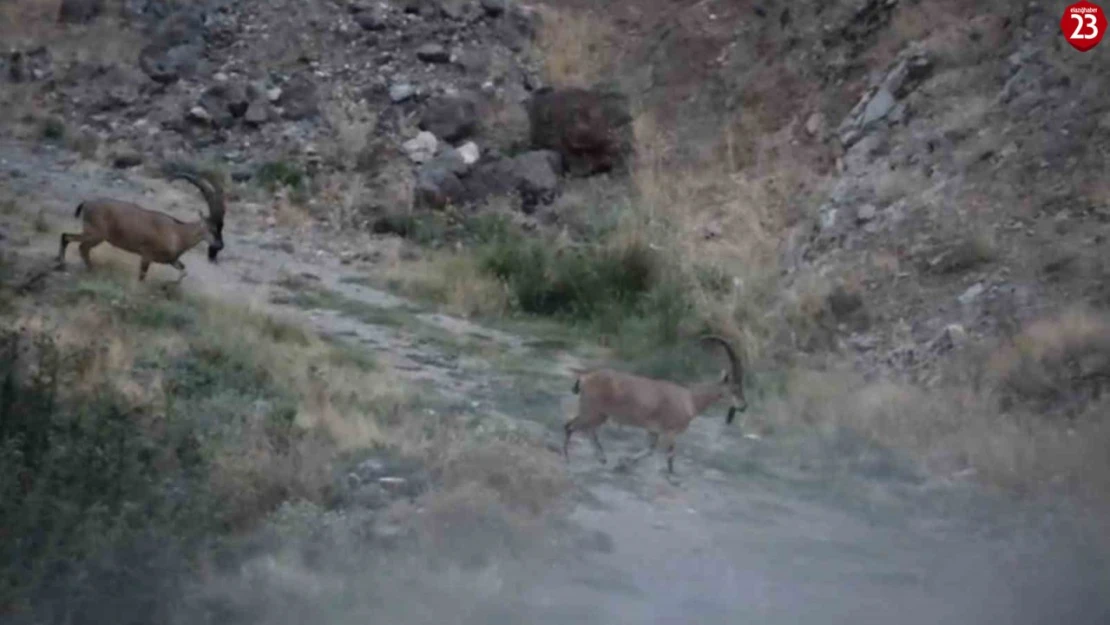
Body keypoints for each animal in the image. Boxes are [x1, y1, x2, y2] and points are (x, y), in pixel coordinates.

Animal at [59, 166, 228, 284]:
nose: (220, 246)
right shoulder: (147, 255)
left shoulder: (171, 261)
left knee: (68, 238)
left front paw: (168, 285)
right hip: (95, 234)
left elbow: (184, 271)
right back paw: (85, 268)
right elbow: (142, 276)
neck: (178, 233)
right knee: (77, 244)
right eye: (212, 228)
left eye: (222, 227)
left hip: (92, 234)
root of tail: (87, 204)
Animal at [563, 337, 745, 475]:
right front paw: (673, 478)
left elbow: (650, 449)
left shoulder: (653, 430)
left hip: (598, 413)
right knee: (571, 426)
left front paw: (622, 463)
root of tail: (585, 379)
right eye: (735, 389)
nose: (744, 406)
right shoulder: (670, 432)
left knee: (588, 430)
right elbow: (670, 454)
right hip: (593, 411)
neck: (690, 400)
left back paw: (602, 458)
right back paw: (568, 459)